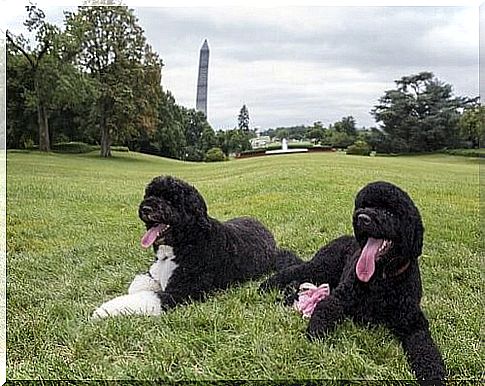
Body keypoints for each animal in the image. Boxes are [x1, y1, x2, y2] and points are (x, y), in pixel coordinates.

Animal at [92, 176, 300, 320]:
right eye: (150, 194)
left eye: (171, 200)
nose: (146, 208)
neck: (185, 244)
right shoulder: (154, 274)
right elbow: (139, 285)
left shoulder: (181, 292)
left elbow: (146, 297)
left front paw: (104, 310)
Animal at [260, 181, 444, 380]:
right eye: (365, 205)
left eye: (389, 212)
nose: (362, 218)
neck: (381, 278)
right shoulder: (340, 297)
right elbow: (325, 308)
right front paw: (314, 334)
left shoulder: (413, 322)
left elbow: (425, 347)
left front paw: (433, 373)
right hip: (321, 267)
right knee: (293, 270)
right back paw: (266, 286)